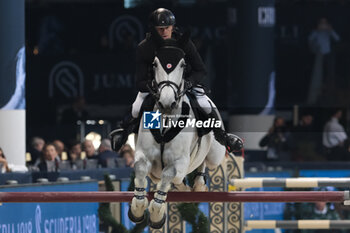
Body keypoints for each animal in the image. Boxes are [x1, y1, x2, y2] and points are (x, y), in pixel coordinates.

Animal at [129, 37, 227, 228]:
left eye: (182, 64)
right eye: (155, 64)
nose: (167, 102)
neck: (167, 119)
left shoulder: (179, 162)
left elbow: (169, 173)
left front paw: (156, 215)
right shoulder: (144, 156)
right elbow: (141, 170)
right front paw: (137, 209)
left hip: (215, 156)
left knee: (205, 162)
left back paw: (199, 184)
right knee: (182, 180)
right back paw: (188, 187)